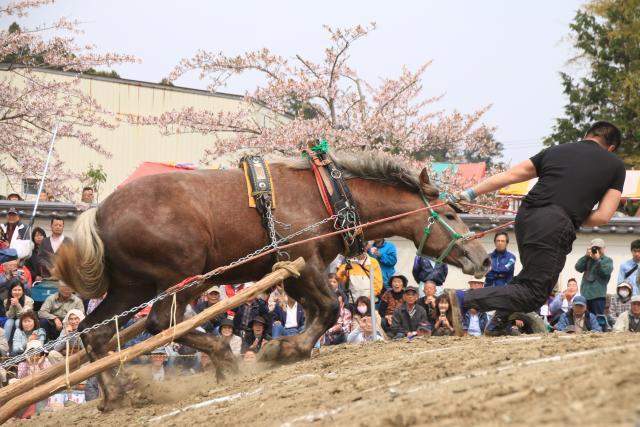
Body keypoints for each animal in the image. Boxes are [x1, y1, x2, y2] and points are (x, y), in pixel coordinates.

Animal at [55, 154, 490, 412]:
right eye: (451, 213)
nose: (482, 258)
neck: (327, 198)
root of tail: (98, 214)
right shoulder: (304, 262)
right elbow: (329, 308)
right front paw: (284, 349)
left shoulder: (293, 272)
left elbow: (319, 312)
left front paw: (289, 346)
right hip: (183, 274)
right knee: (163, 321)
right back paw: (223, 356)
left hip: (132, 287)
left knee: (95, 332)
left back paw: (115, 394)